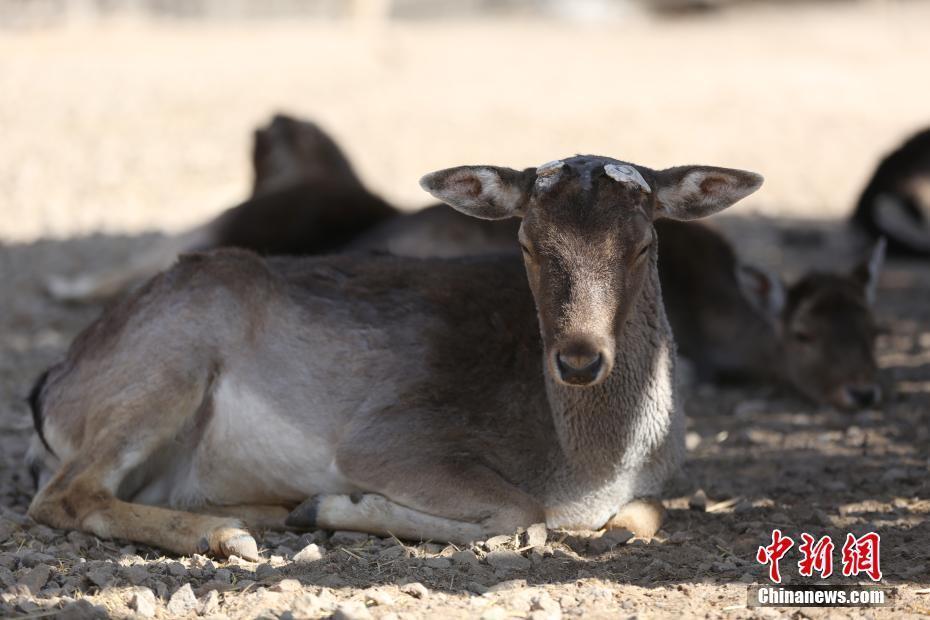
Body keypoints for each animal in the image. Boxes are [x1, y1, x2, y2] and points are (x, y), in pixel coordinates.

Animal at [27, 154, 760, 556]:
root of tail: (50, 388)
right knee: (62, 495)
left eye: (643, 244)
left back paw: (259, 512)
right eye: (526, 242)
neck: (591, 470)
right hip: (168, 363)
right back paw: (229, 535)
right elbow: (525, 515)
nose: (578, 360)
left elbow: (645, 515)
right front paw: (334, 506)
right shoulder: (391, 439)